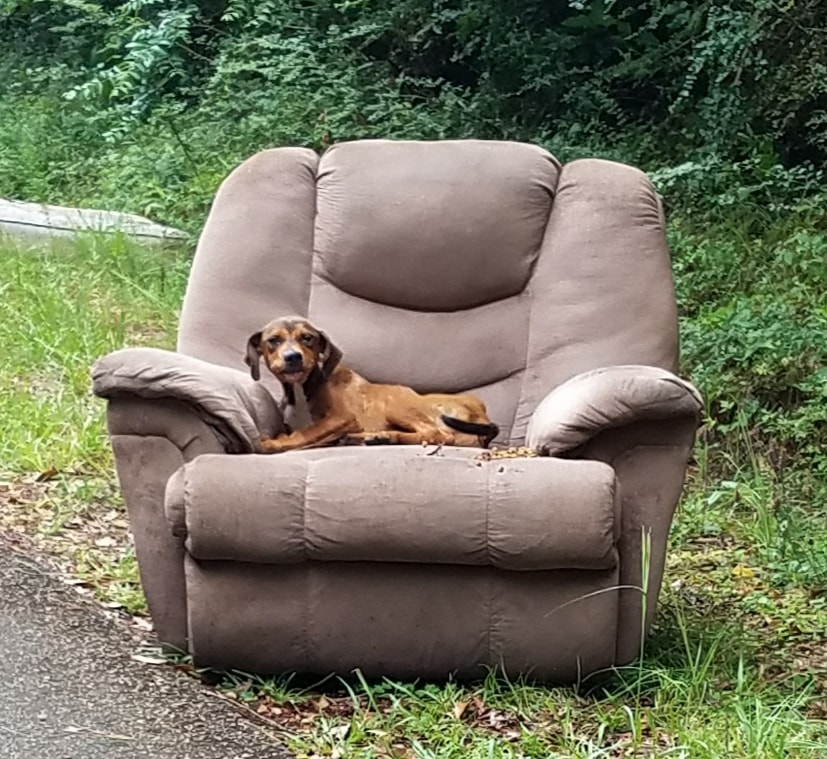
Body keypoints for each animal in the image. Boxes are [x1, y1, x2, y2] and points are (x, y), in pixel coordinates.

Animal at [246, 316, 498, 454]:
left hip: (394, 403)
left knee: (436, 434)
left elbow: (307, 432)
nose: (293, 357)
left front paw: (274, 443)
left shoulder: (343, 418)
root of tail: (482, 413)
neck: (303, 388)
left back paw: (383, 437)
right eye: (273, 340)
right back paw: (372, 437)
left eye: (307, 338)